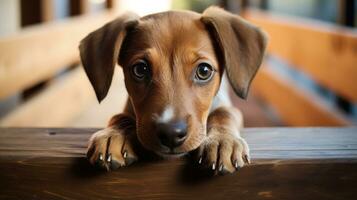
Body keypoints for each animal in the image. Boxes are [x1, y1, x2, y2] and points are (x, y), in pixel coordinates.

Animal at [79, 6, 266, 173]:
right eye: (140, 69)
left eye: (204, 71)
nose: (170, 134)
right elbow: (119, 116)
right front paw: (113, 135)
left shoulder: (226, 105)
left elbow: (224, 113)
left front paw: (222, 140)